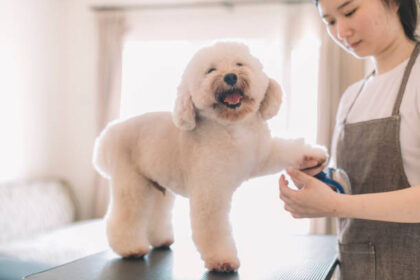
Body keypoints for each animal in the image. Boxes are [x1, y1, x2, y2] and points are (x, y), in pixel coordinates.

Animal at [92, 41, 328, 272]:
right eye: (211, 70)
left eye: (239, 64)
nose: (230, 76)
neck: (232, 129)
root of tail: (110, 134)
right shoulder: (210, 191)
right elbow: (212, 229)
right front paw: (222, 260)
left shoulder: (261, 154)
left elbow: (285, 149)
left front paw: (313, 156)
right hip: (132, 184)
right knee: (125, 216)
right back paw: (130, 248)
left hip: (159, 185)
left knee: (158, 213)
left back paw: (161, 240)